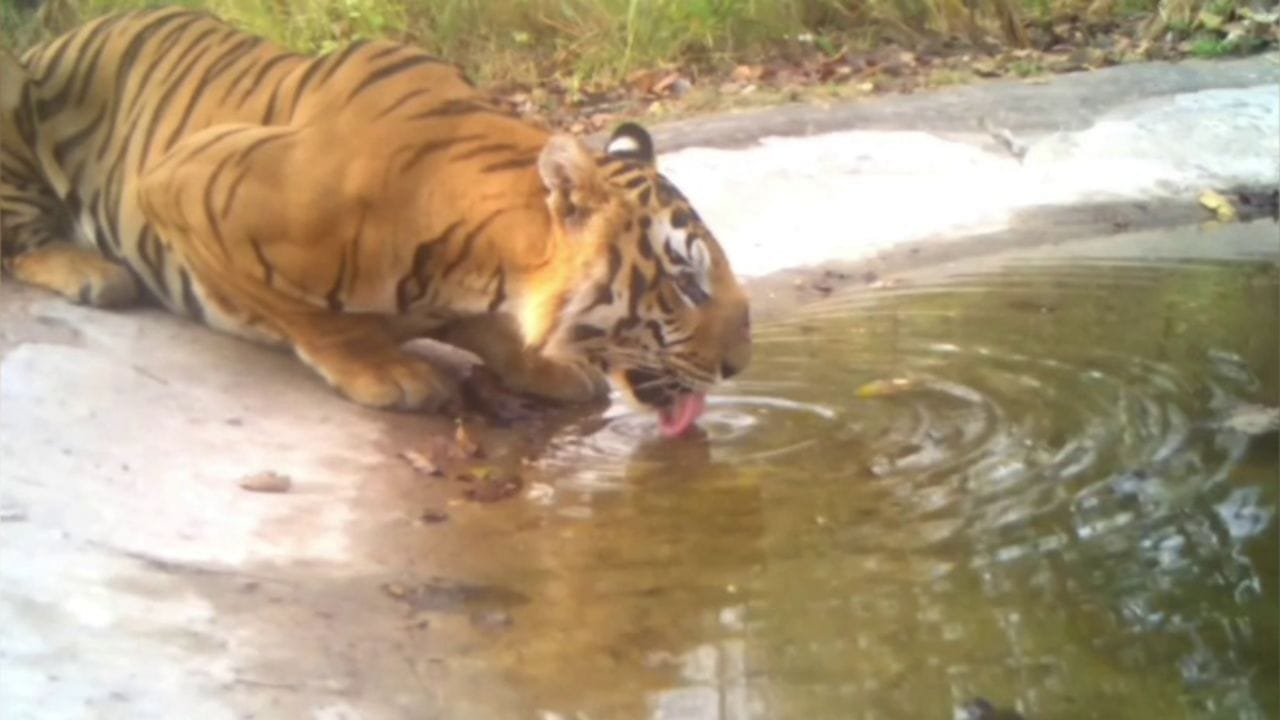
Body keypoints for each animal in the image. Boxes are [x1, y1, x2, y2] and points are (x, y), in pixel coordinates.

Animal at [0, 7, 751, 438]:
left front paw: (546, 364)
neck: (483, 266)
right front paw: (385, 369)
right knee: (21, 238)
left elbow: (490, 333)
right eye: (687, 282)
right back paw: (90, 271)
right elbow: (307, 314)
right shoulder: (183, 181)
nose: (740, 367)